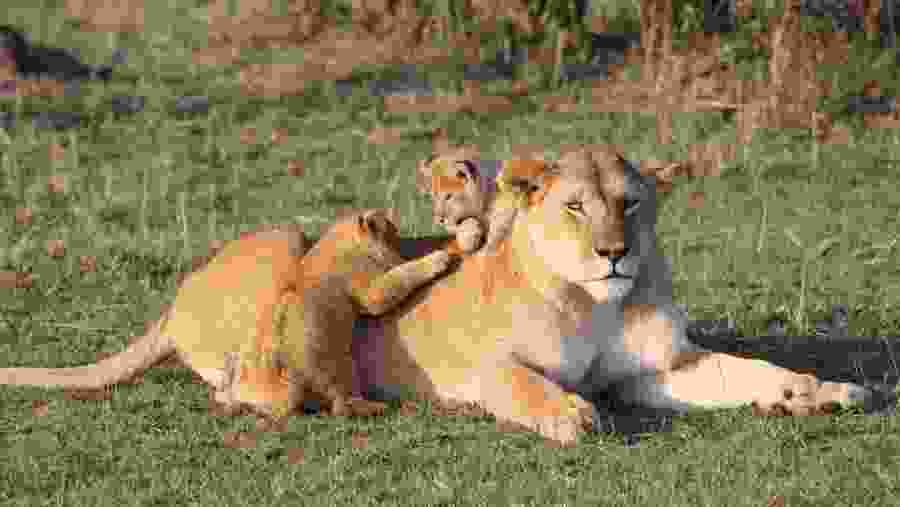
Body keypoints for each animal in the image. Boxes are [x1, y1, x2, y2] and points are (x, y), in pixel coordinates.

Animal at [0, 209, 458, 420]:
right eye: (391, 228)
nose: (404, 236)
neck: (331, 247)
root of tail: (171, 312)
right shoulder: (366, 286)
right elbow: (387, 287)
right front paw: (441, 257)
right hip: (284, 244)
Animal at [353, 145, 876, 445]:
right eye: (576, 207)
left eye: (630, 203)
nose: (613, 253)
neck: (596, 305)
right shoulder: (479, 363)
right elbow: (521, 381)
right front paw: (570, 414)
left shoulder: (654, 370)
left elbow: (752, 370)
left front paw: (815, 392)